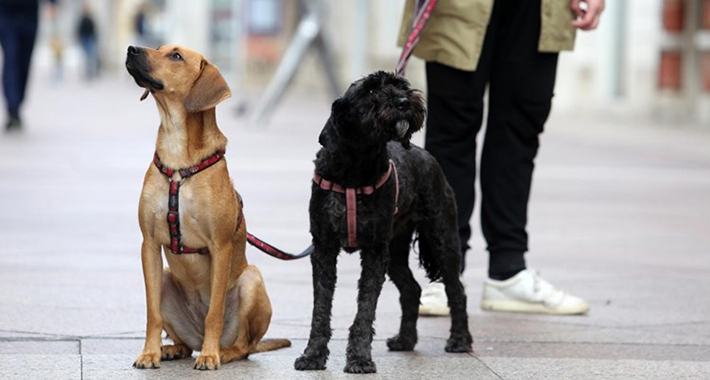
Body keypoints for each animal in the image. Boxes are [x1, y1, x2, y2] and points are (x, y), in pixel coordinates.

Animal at [125, 45, 290, 372]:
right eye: (159, 48)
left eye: (175, 56)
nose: (131, 48)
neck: (178, 158)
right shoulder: (149, 245)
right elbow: (152, 313)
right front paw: (149, 352)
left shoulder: (220, 247)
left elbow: (214, 310)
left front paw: (211, 356)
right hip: (166, 277)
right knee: (185, 342)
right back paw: (172, 348)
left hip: (251, 280)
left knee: (244, 346)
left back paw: (221, 351)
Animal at [294, 72, 472, 374]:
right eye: (370, 91)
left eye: (402, 86)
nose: (404, 101)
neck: (355, 169)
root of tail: (427, 156)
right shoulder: (324, 248)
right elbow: (321, 308)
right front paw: (313, 355)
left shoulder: (375, 251)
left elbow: (365, 310)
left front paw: (359, 359)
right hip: (396, 248)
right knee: (412, 289)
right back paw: (405, 340)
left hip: (442, 238)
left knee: (456, 290)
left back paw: (460, 340)